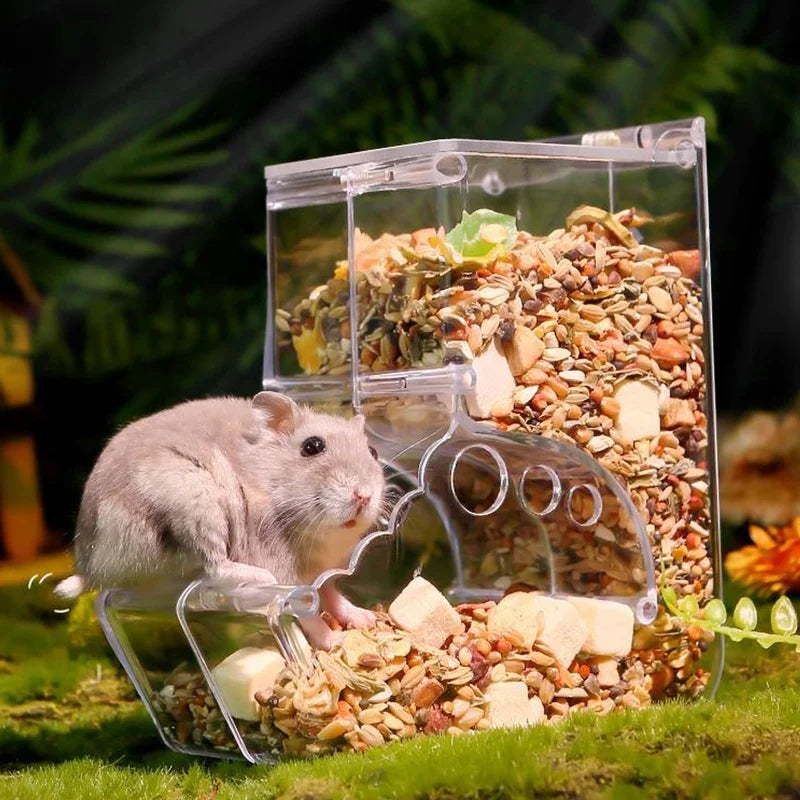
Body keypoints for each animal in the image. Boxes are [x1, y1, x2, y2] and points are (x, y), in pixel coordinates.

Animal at [55, 392, 386, 647]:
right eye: (312, 446)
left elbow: (332, 594)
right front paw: (336, 641)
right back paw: (261, 578)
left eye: (373, 451)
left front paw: (367, 619)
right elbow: (310, 614)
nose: (364, 496)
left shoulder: (321, 572)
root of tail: (90, 567)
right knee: (216, 565)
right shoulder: (289, 576)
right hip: (198, 504)